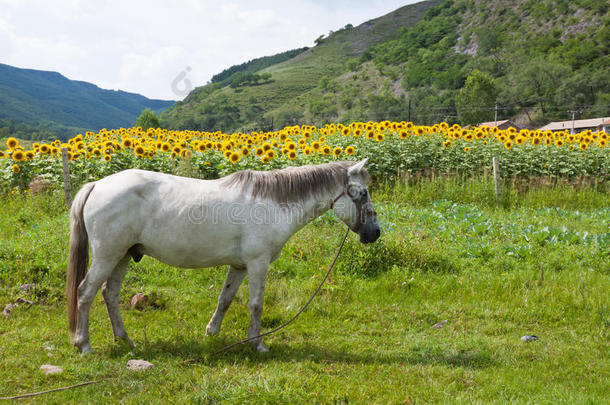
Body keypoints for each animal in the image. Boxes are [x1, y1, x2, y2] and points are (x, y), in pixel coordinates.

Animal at [69, 159, 378, 352]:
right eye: (362, 193)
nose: (375, 232)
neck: (273, 202)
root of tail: (96, 185)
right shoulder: (257, 263)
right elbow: (256, 304)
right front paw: (258, 344)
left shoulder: (239, 266)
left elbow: (225, 299)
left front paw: (212, 334)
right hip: (107, 256)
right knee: (85, 292)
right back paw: (84, 345)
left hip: (122, 256)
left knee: (109, 294)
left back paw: (125, 341)